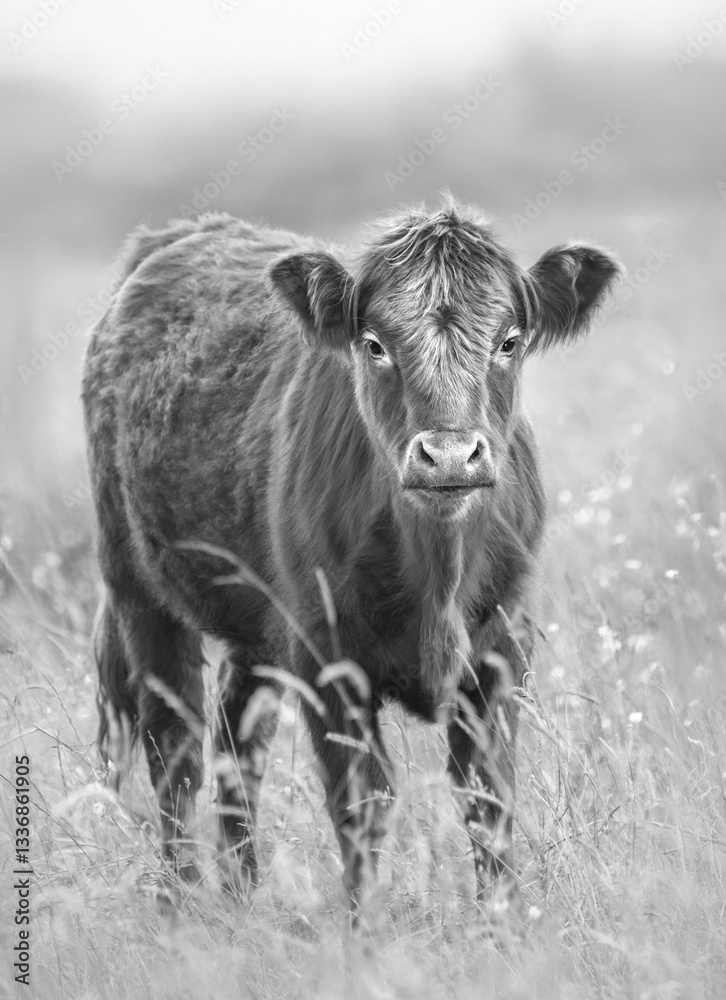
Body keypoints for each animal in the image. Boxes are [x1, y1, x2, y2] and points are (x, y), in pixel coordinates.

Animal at [82, 200, 620, 915]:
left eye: (509, 341)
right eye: (374, 345)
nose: (450, 456)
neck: (438, 574)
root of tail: (181, 234)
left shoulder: (504, 646)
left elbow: (489, 797)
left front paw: (503, 921)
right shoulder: (328, 656)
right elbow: (362, 801)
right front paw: (365, 930)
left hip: (258, 626)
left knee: (235, 744)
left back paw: (242, 896)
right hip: (138, 592)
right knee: (175, 748)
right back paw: (182, 902)